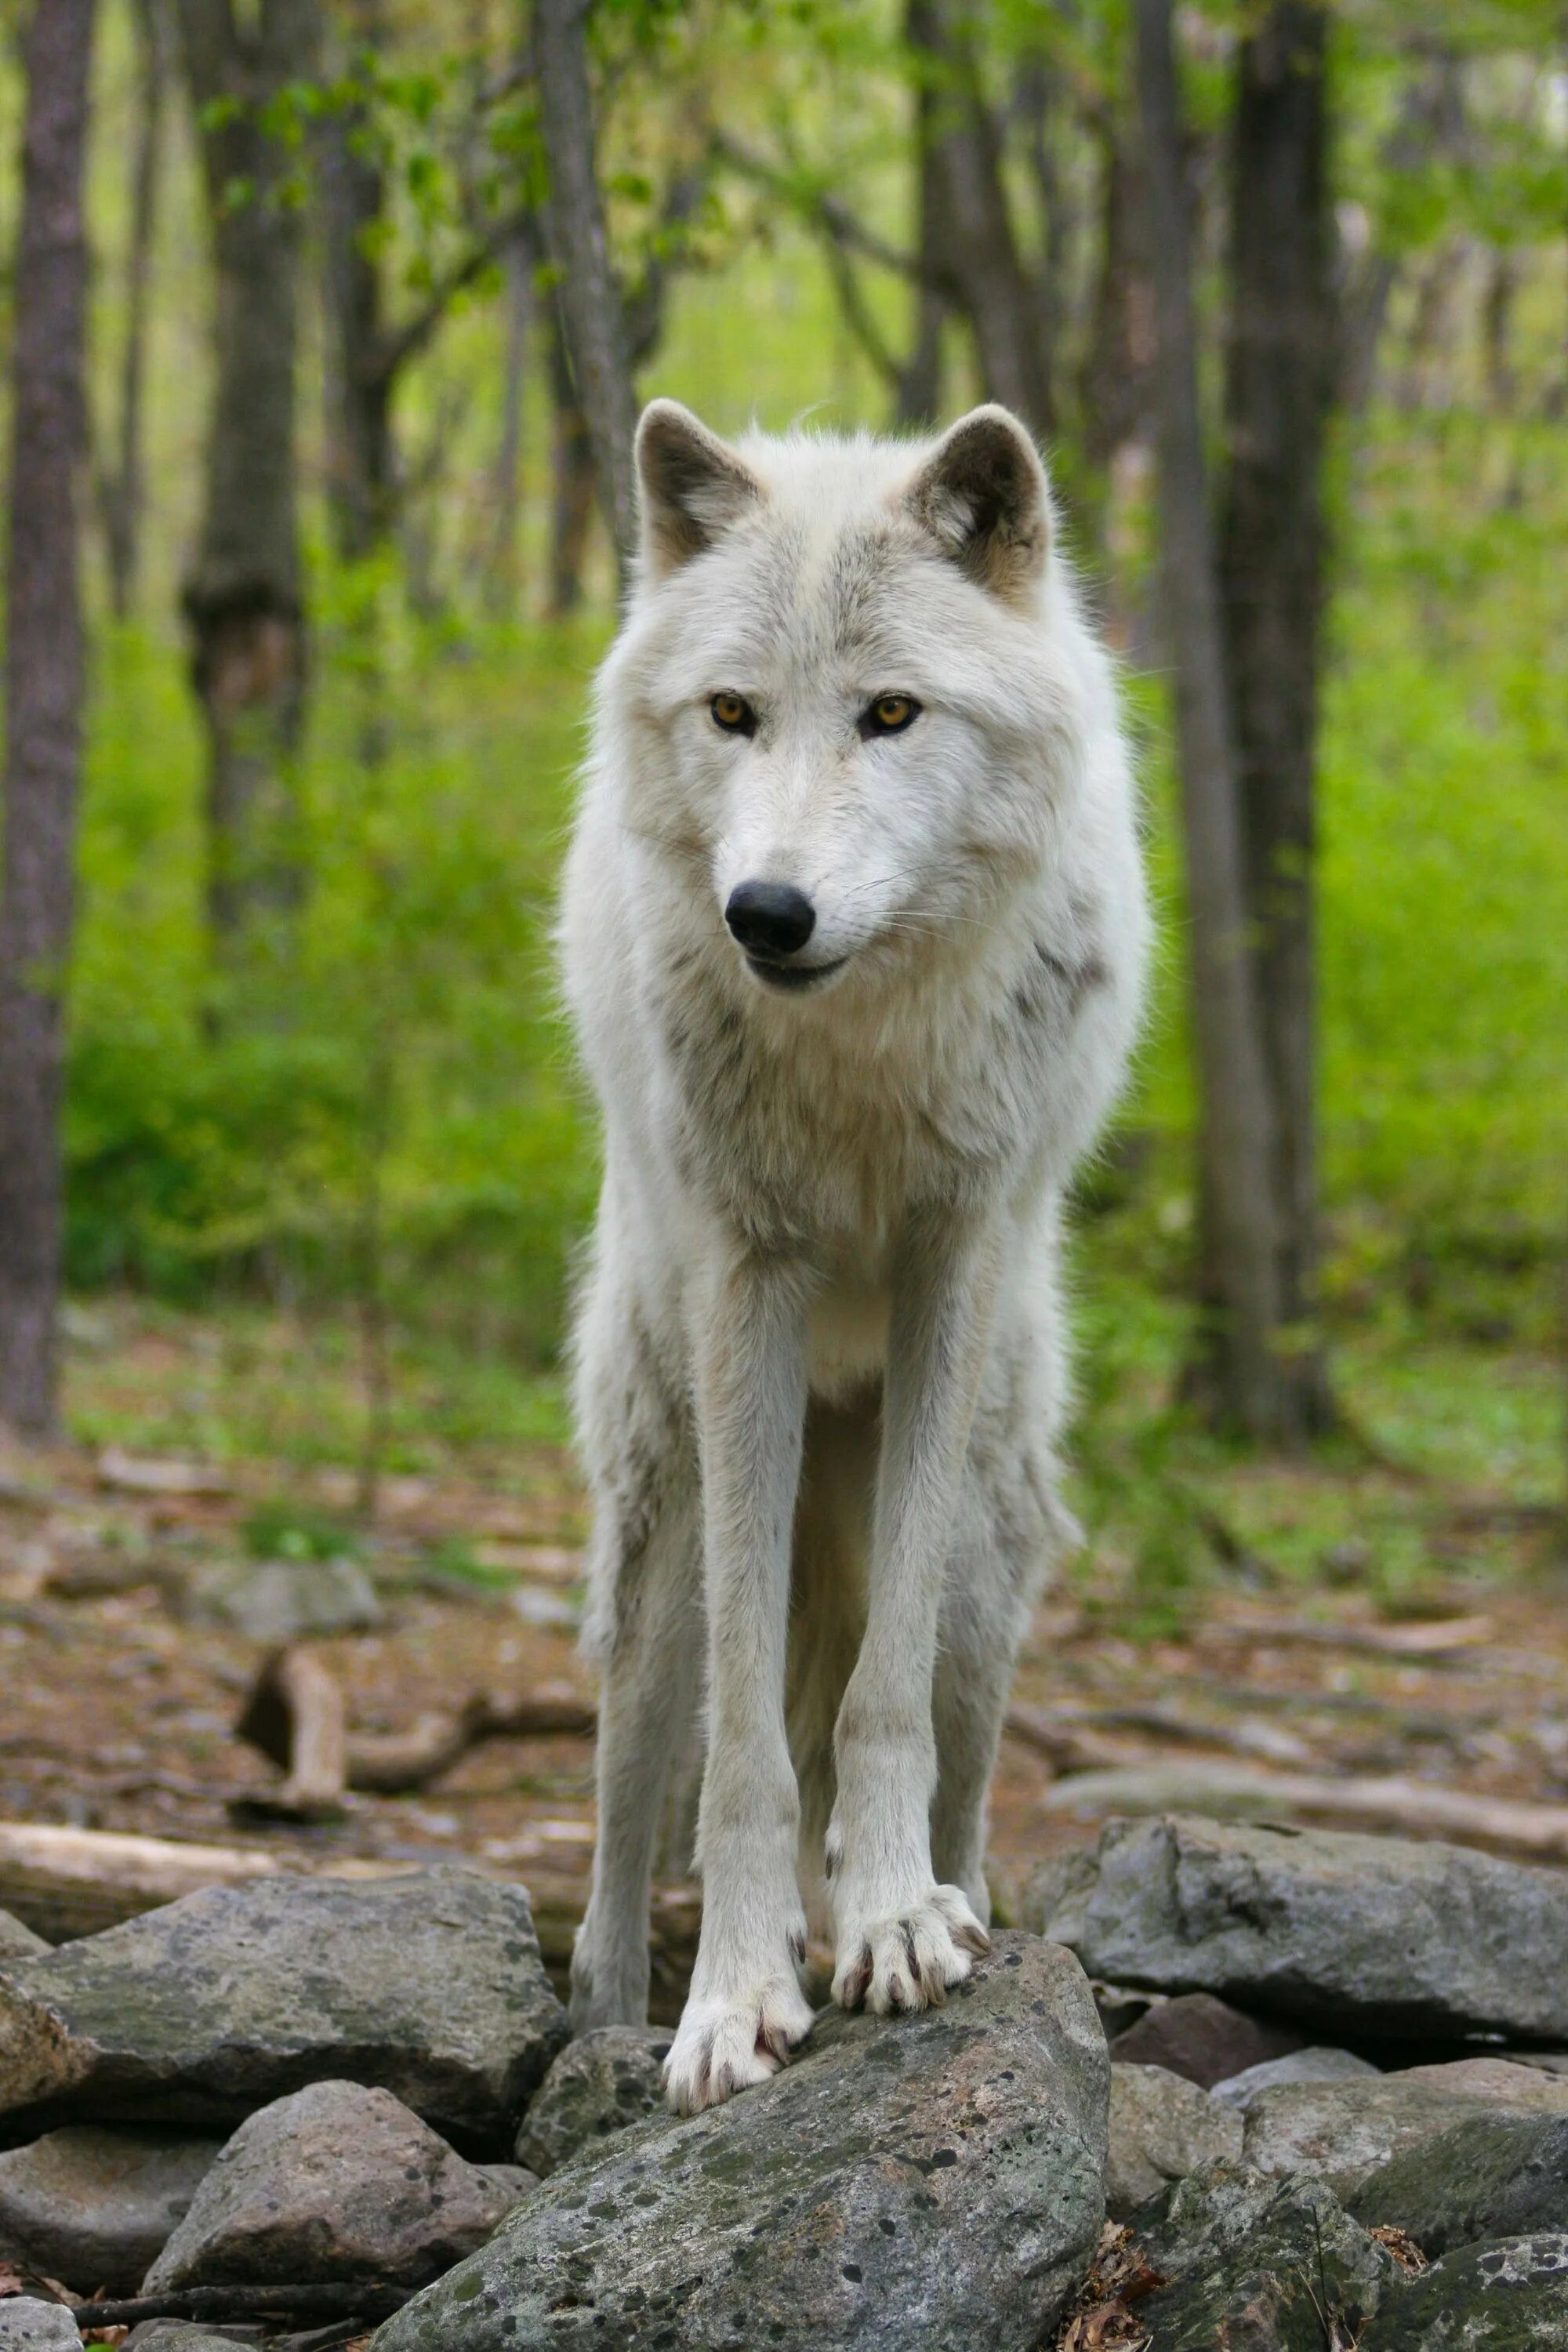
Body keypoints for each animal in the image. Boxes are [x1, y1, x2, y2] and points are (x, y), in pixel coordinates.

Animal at [557, 400, 1147, 2117]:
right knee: (627, 1815)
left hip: (987, 1556)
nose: (767, 910)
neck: (865, 1048)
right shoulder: (750, 1288)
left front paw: (889, 1923)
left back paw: (943, 1900)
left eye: (892, 713)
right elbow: (746, 1759)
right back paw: (608, 2020)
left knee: (949, 1755)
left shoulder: (952, 1261)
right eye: (734, 714)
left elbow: (877, 1710)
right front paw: (734, 2000)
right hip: (662, 1528)